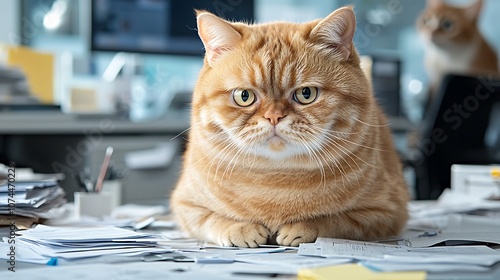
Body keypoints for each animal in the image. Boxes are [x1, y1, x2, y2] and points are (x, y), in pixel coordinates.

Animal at [170, 6, 408, 247]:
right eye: (244, 96)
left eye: (306, 94)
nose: (274, 117)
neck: (276, 181)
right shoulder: (185, 205)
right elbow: (213, 219)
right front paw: (239, 228)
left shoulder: (385, 212)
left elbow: (335, 221)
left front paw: (301, 227)